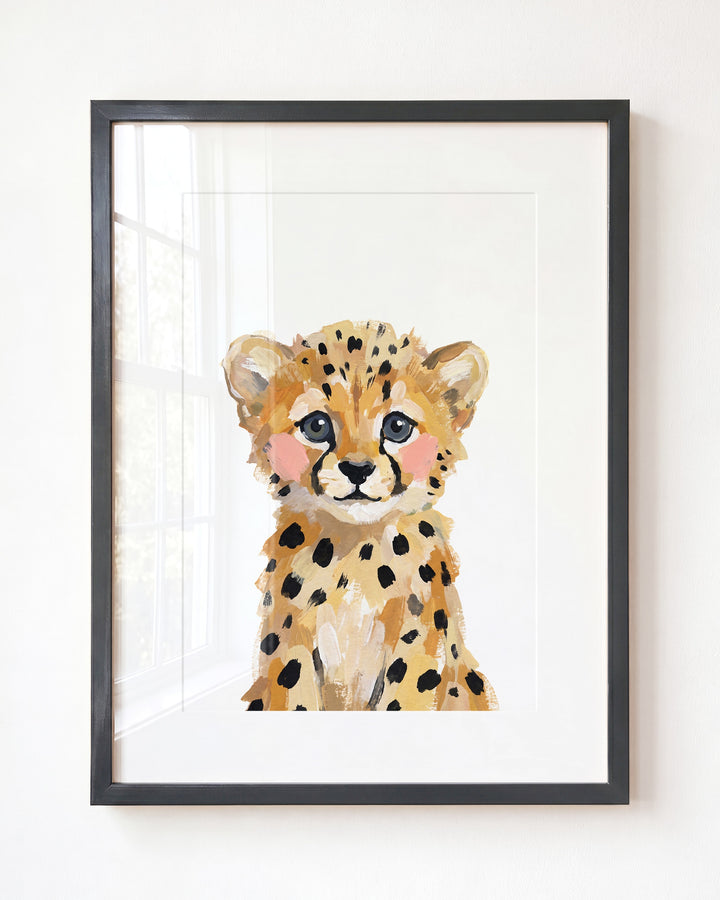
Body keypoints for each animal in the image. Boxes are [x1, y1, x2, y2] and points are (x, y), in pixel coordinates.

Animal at [222, 320, 498, 711]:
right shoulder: (291, 642)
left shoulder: (416, 645)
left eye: (397, 426)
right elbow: (295, 695)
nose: (357, 469)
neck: (356, 550)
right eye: (316, 426)